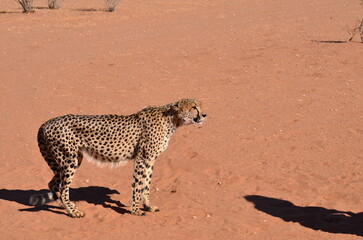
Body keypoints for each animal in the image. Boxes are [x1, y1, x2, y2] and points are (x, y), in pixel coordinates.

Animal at [30, 99, 208, 218]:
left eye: (199, 106)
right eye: (194, 107)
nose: (204, 115)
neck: (172, 119)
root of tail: (45, 123)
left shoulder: (150, 160)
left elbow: (147, 184)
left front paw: (148, 206)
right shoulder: (143, 159)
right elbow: (138, 185)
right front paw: (135, 210)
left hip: (70, 159)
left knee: (53, 184)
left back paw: (65, 206)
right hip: (69, 160)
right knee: (62, 188)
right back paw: (74, 212)